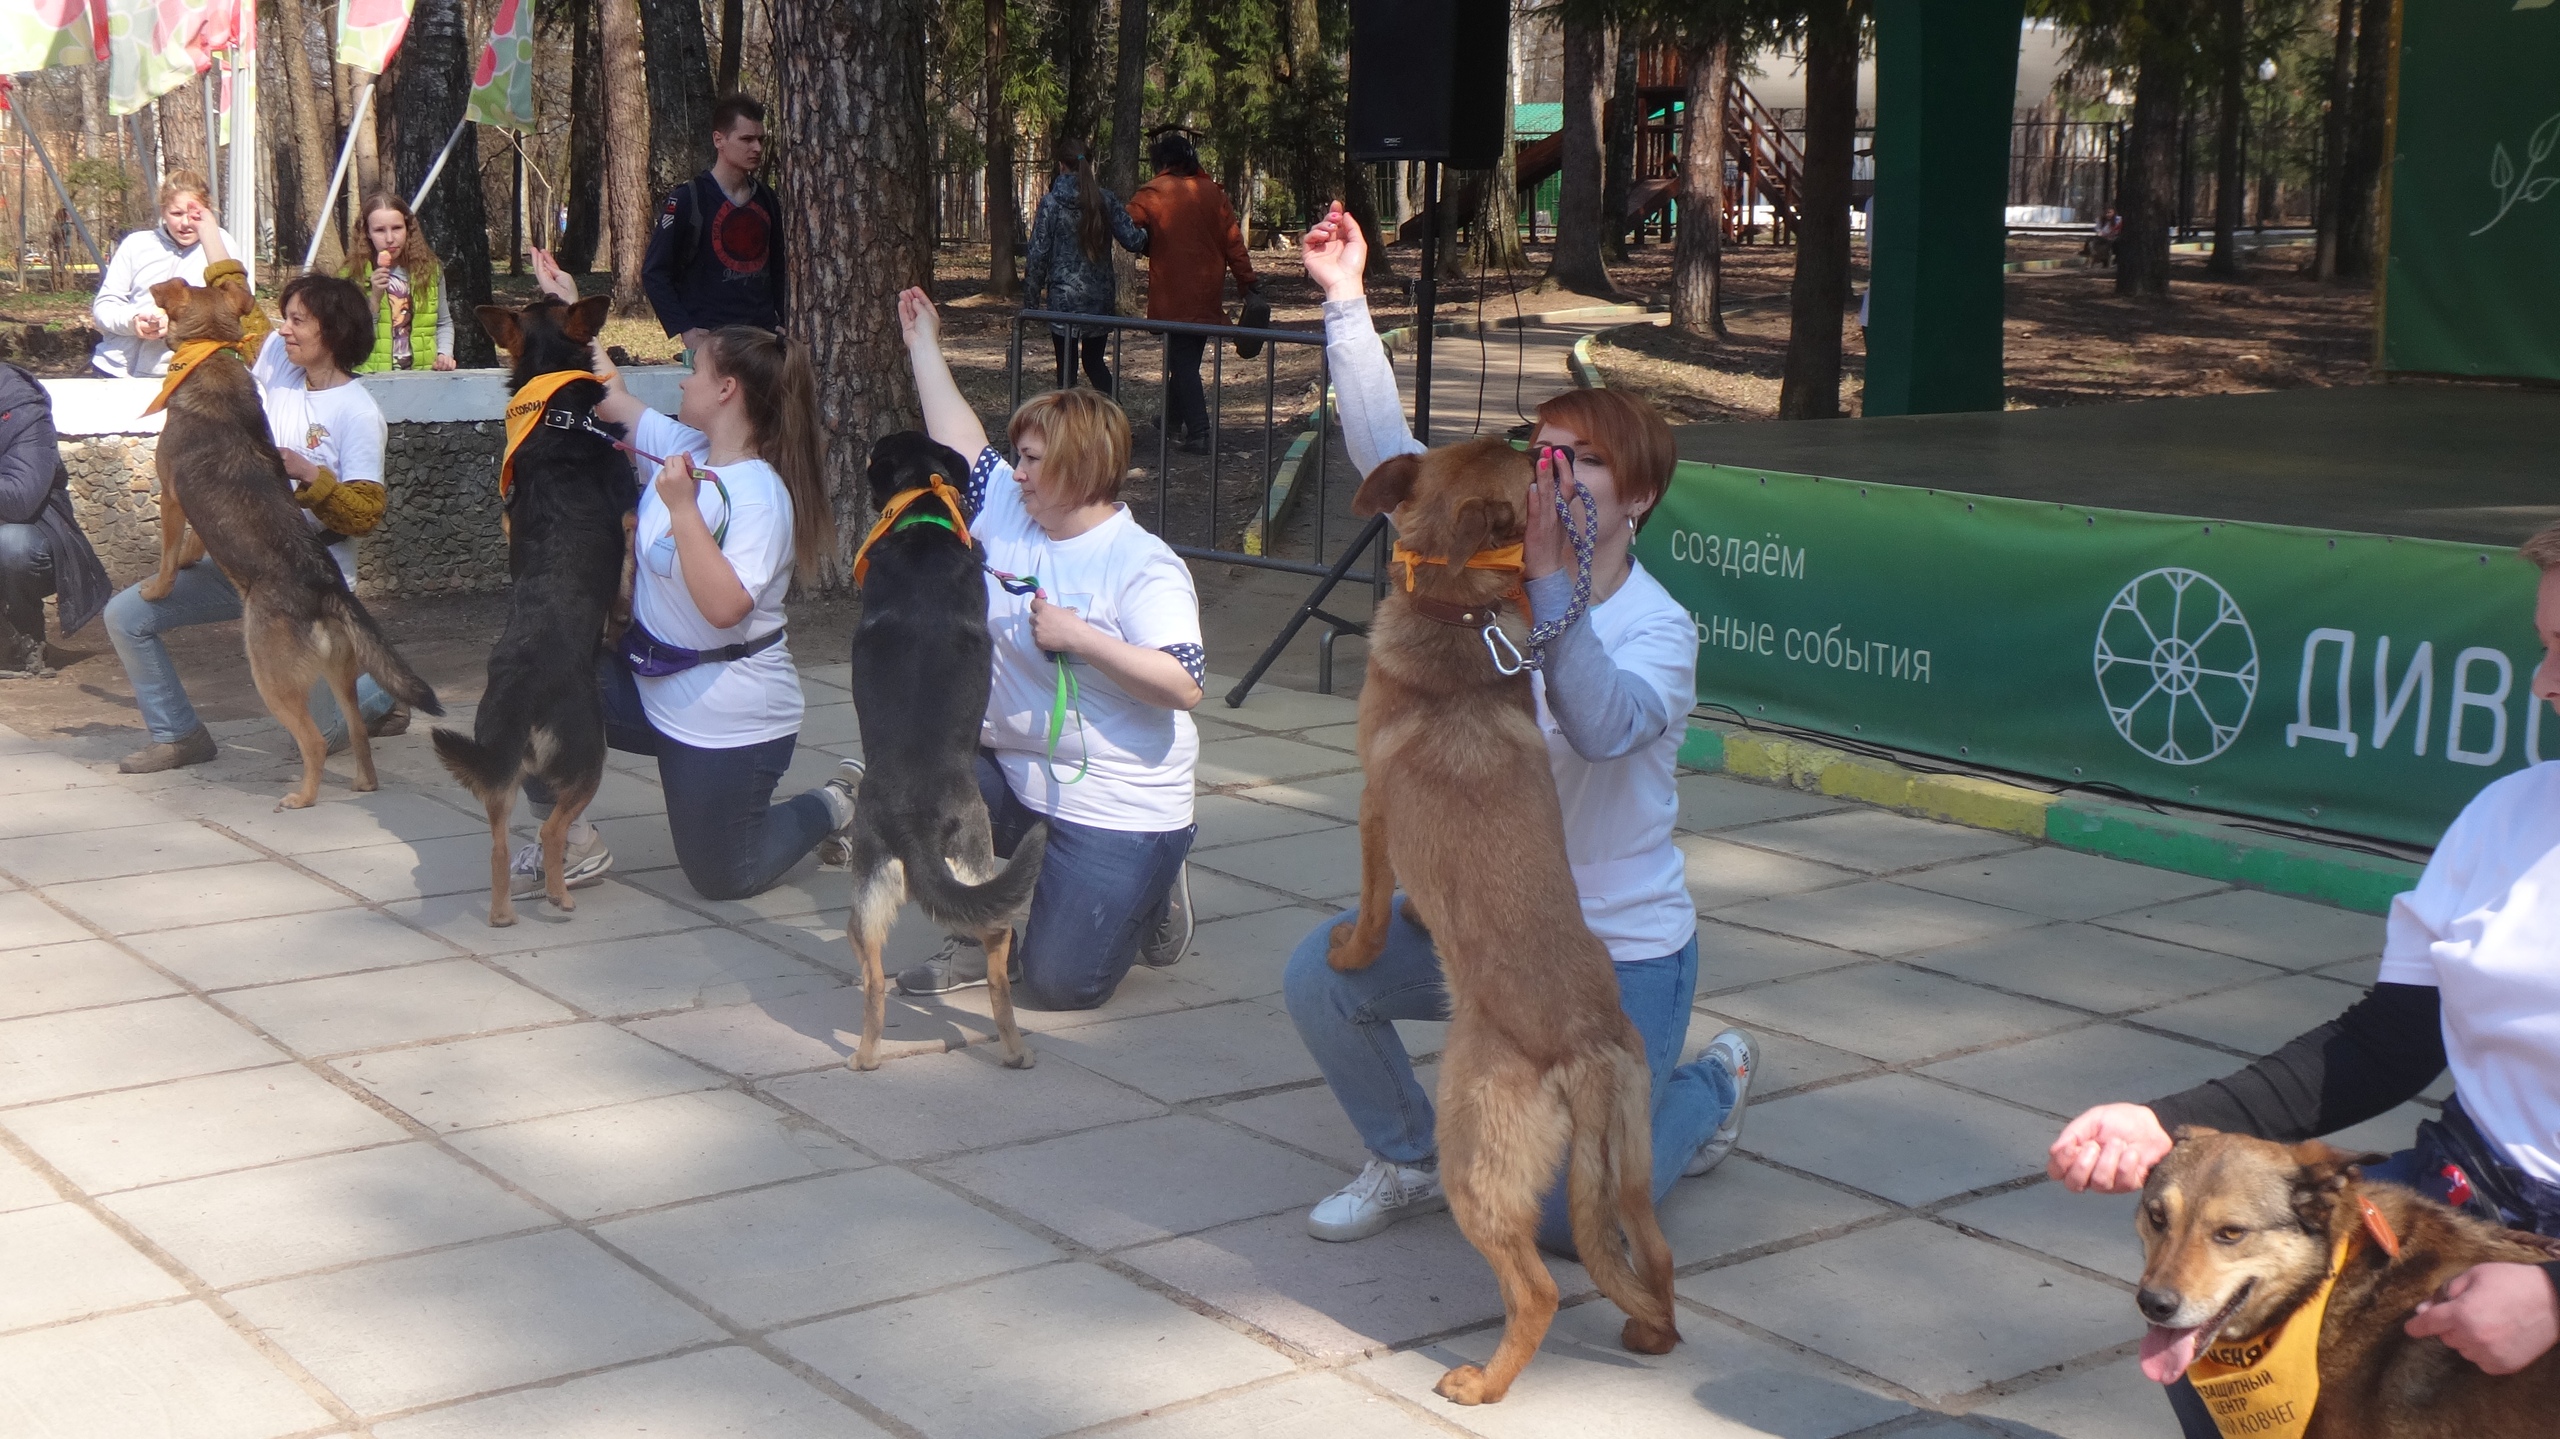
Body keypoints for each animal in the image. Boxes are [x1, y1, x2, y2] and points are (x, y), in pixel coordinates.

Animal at [138, 271, 440, 809]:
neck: (208, 353)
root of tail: (328, 588)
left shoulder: (172, 496)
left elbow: (169, 553)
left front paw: (157, 588)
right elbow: (192, 546)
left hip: (269, 677)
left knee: (316, 740)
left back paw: (301, 798)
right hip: (338, 674)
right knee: (355, 730)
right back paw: (363, 780)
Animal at [430, 299, 629, 932]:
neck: (555, 420)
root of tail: (523, 691)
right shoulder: (632, 515)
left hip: (500, 769)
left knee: (497, 844)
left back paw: (500, 914)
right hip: (589, 757)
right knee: (551, 830)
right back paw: (561, 898)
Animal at [839, 430, 1039, 1070]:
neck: (922, 513)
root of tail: (916, 820)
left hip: (874, 884)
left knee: (874, 976)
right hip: (956, 866)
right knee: (988, 952)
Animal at [1331, 437, 1689, 1403]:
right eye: (1507, 449)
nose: (1546, 440)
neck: (1458, 611)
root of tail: (1586, 1045)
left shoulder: (1373, 810)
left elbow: (1371, 901)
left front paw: (1353, 950)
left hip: (1475, 1158)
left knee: (1536, 1288)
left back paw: (1481, 1385)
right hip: (1630, 1162)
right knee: (1654, 1257)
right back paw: (1651, 1334)